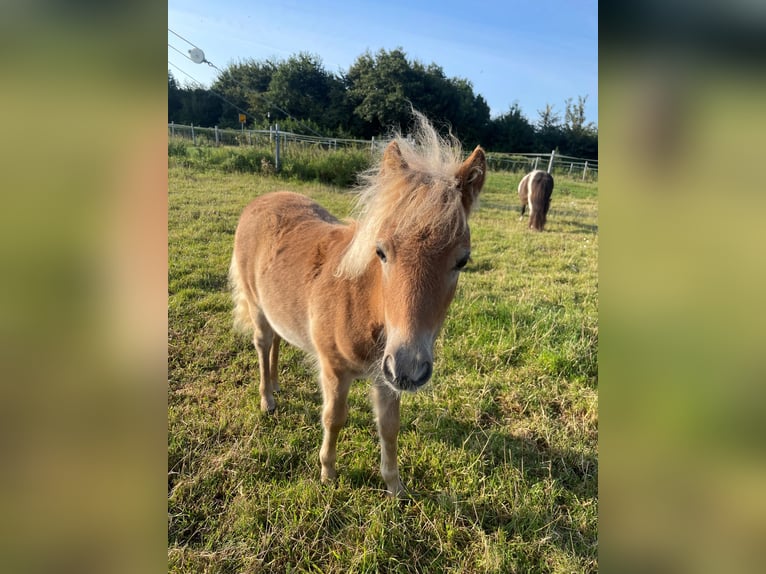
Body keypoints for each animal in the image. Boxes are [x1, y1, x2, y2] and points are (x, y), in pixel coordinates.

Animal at [231, 115, 488, 498]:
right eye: (381, 251)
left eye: (462, 261)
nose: (409, 368)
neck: (361, 304)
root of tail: (260, 201)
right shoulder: (335, 369)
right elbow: (334, 418)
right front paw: (328, 473)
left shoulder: (386, 376)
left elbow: (390, 427)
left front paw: (395, 486)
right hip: (257, 307)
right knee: (263, 345)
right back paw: (268, 400)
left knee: (277, 340)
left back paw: (275, 386)